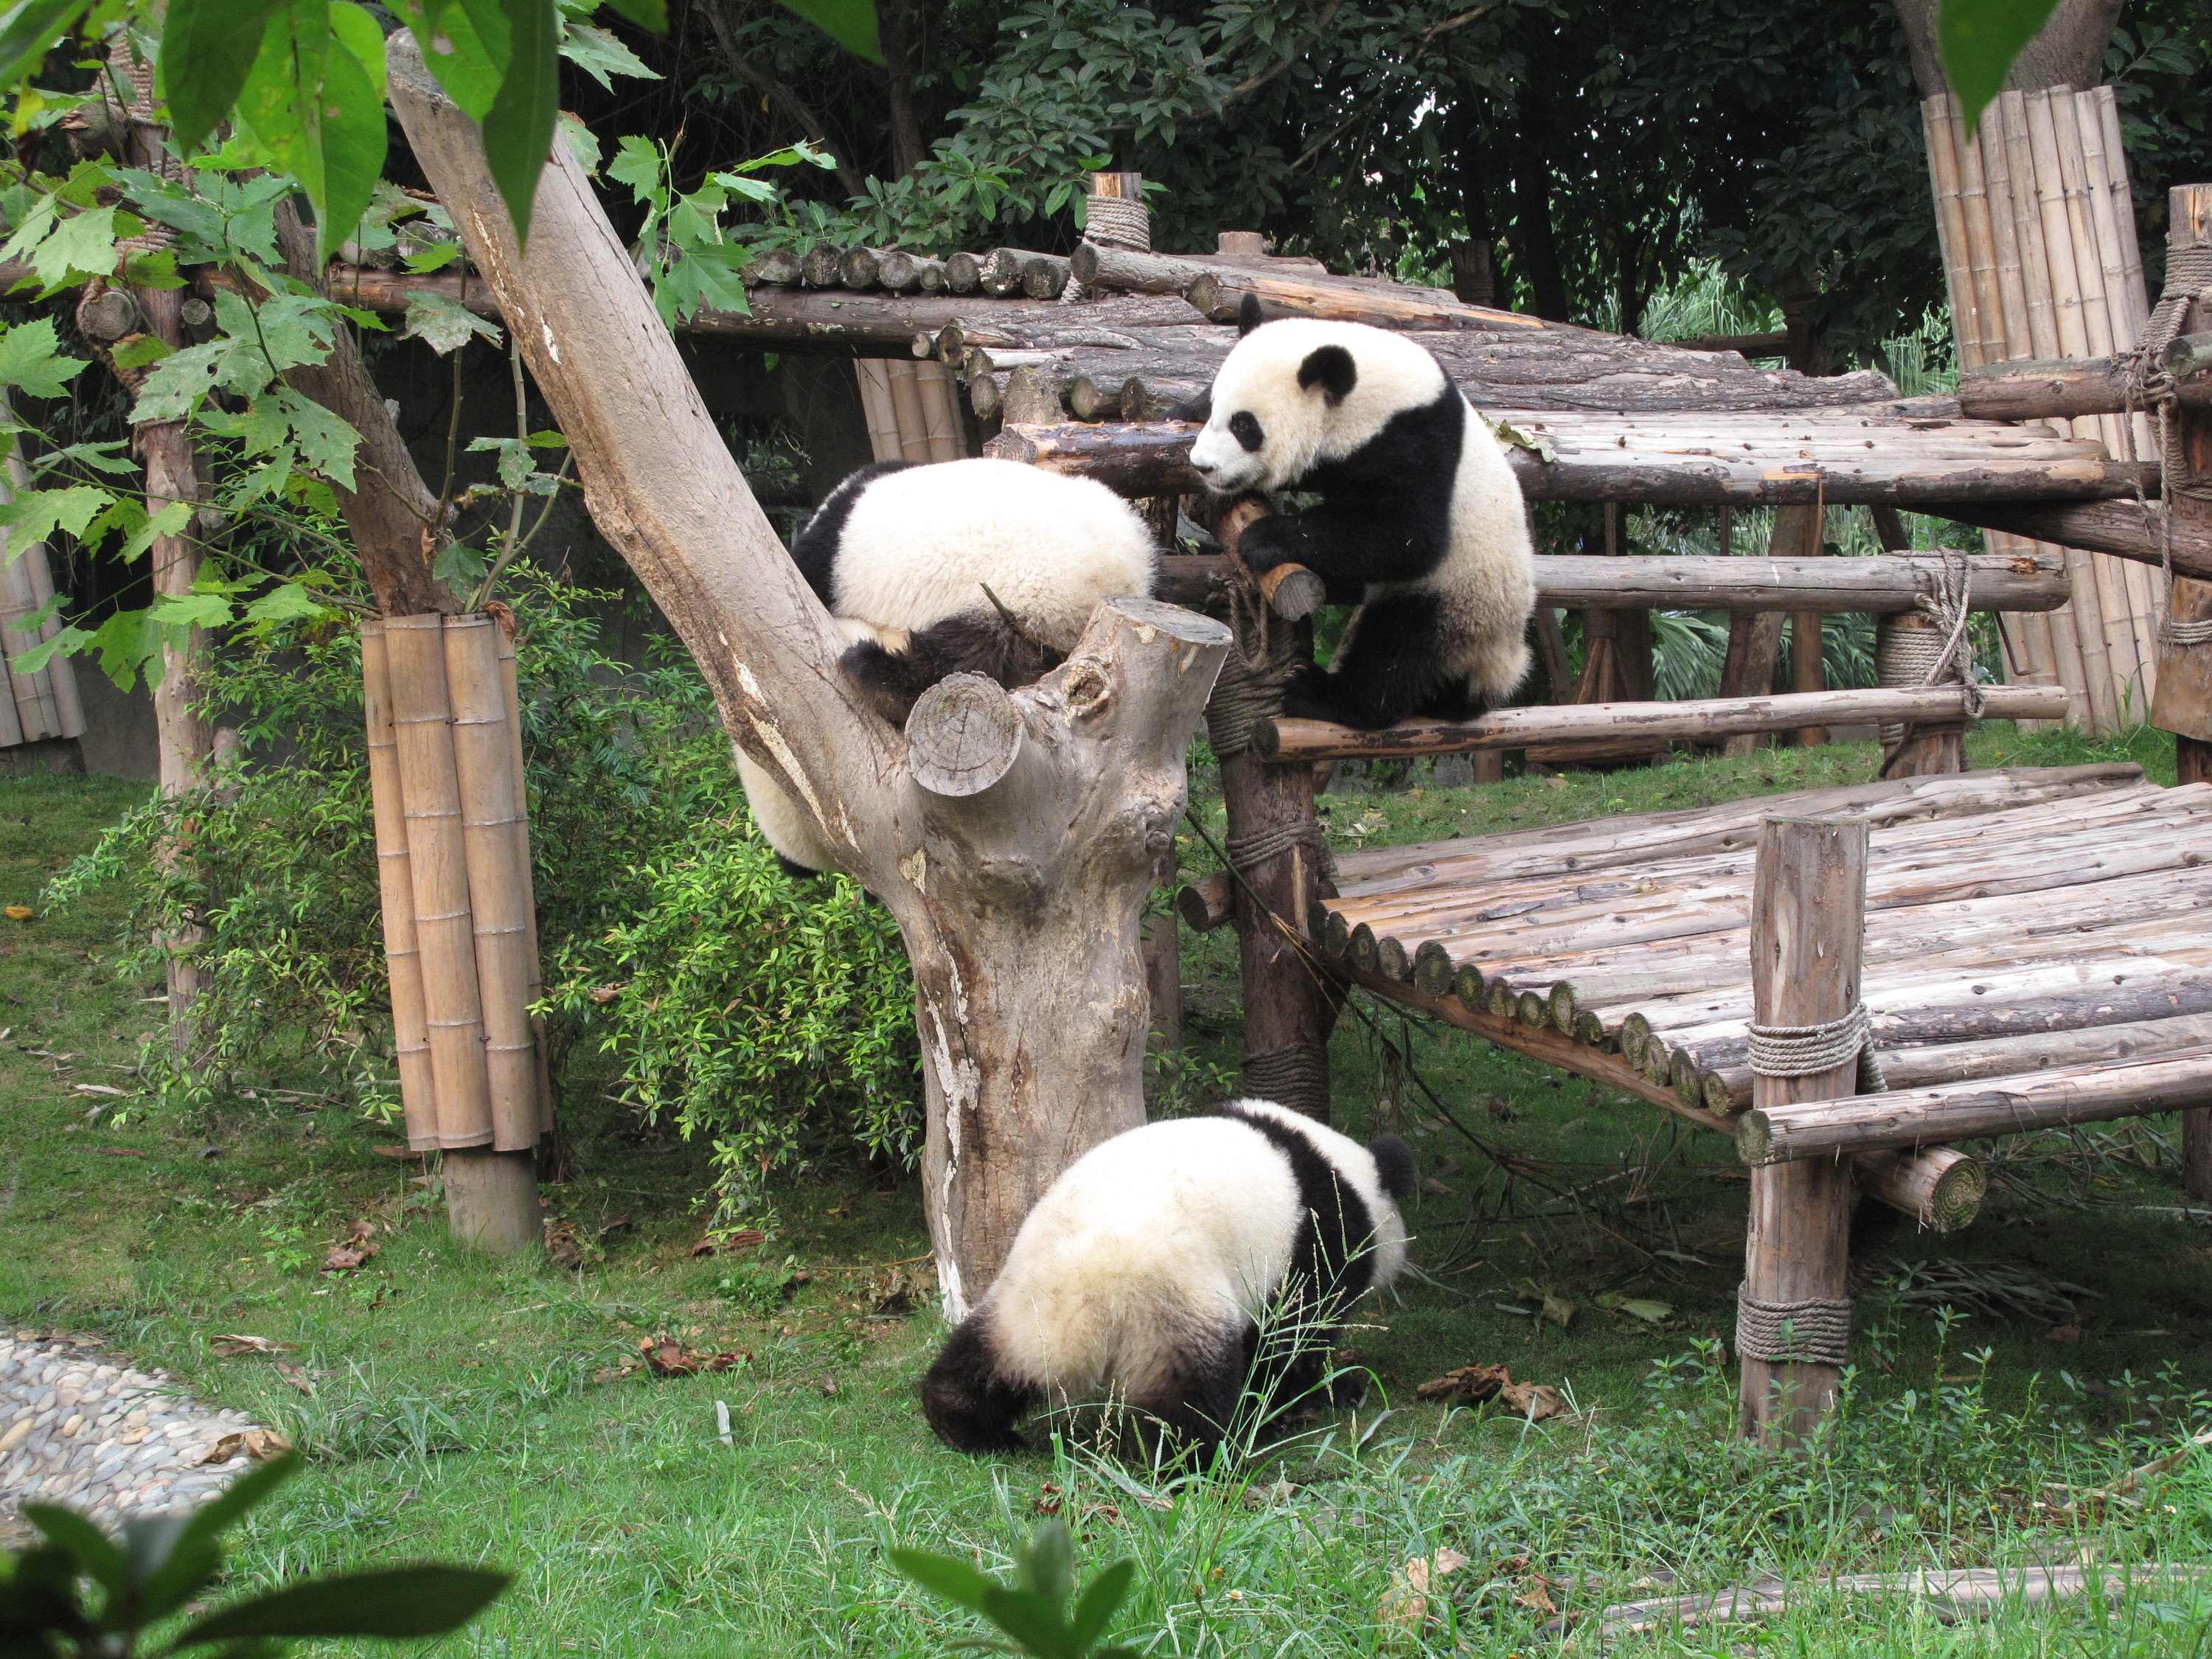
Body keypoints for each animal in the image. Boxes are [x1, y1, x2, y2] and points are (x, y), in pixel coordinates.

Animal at [920, 1098, 1415, 1461]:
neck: (1343, 1170)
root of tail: (1088, 1294)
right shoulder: (1316, 1241)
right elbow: (1290, 1340)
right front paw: (1322, 1395)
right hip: (1171, 1309)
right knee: (1189, 1401)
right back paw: (1202, 1464)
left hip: (1028, 1300)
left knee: (987, 1363)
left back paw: (963, 1425)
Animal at [1179, 312, 1536, 730]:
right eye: (1214, 409)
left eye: (1244, 426)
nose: (1203, 466)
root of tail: (1499, 665)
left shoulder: (1414, 440)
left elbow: (1406, 536)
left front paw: (1263, 538)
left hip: (1462, 598)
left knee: (1396, 649)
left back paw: (1324, 695)